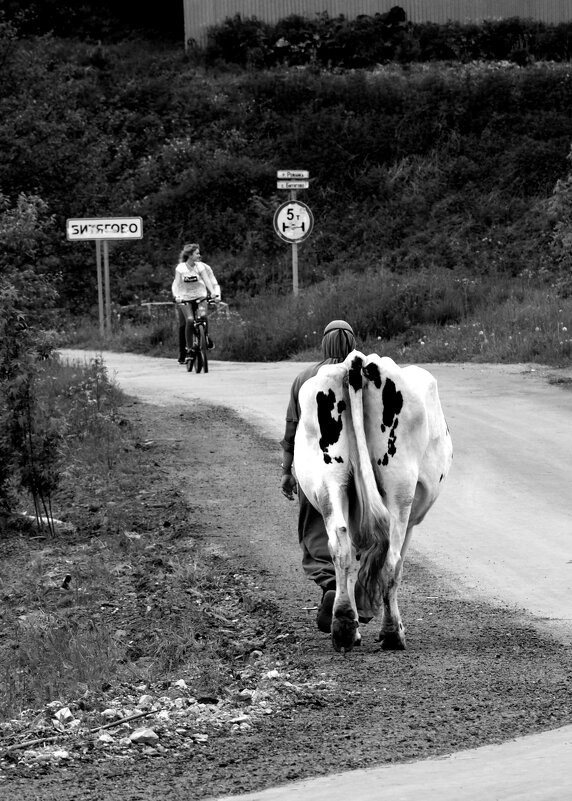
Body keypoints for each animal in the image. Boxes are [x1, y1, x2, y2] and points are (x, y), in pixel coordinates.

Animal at [294, 348, 452, 648]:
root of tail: (357, 361)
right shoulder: (411, 519)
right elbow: (395, 565)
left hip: (329, 479)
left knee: (340, 544)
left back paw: (344, 625)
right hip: (399, 487)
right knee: (391, 561)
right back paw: (392, 633)